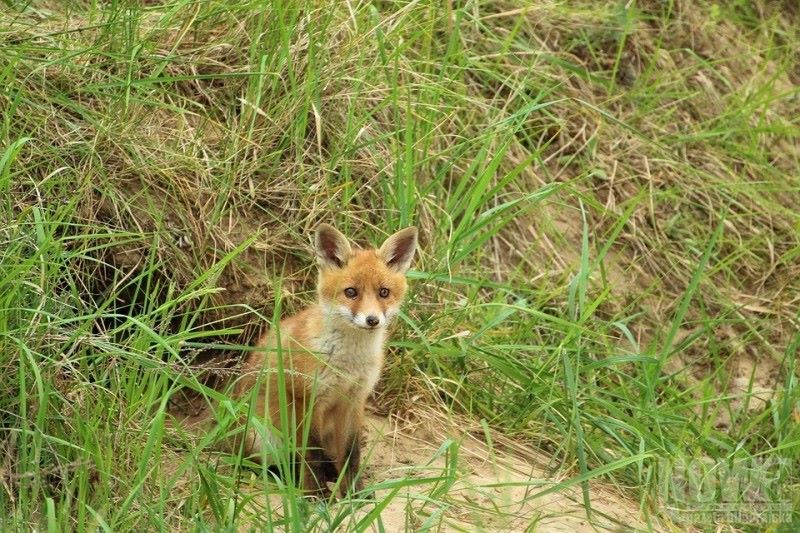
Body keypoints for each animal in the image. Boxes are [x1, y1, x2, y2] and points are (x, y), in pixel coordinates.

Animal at [231, 223, 418, 494]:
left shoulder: (354, 400)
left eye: (384, 292)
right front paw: (315, 494)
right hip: (262, 438)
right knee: (275, 464)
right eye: (351, 292)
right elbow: (312, 453)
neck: (348, 364)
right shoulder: (305, 398)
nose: (372, 320)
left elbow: (351, 454)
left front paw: (354, 493)